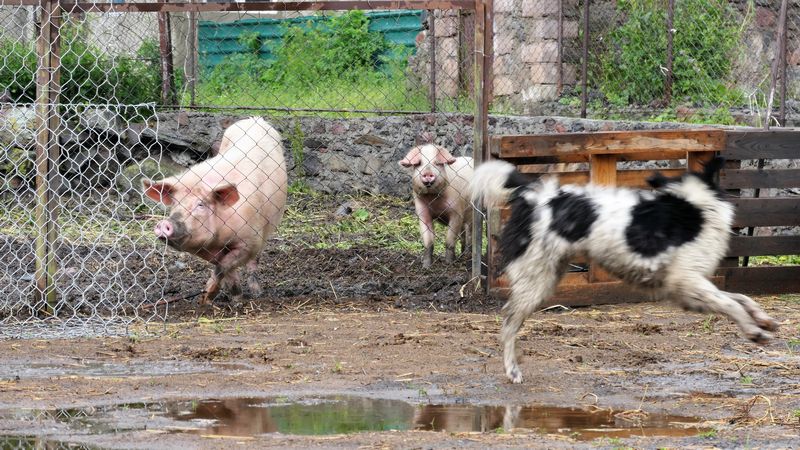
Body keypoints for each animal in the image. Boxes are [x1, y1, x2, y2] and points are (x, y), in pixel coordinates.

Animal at [143, 116, 288, 306]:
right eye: (175, 203)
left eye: (201, 205)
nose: (165, 223)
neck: (219, 238)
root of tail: (255, 119)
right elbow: (226, 268)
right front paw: (230, 297)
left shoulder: (250, 241)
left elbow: (224, 266)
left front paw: (211, 298)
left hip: (267, 228)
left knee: (255, 261)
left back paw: (257, 292)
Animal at [472, 157, 780, 384]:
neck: (694, 205)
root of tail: (535, 191)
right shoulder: (688, 281)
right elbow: (731, 303)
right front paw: (754, 332)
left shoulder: (691, 292)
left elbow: (739, 298)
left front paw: (763, 319)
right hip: (537, 279)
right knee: (508, 323)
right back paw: (512, 370)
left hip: (547, 275)